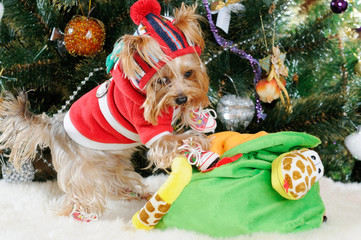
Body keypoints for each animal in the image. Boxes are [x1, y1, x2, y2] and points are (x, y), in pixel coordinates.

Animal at [0, 0, 214, 221]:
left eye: (189, 73)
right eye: (162, 80)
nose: (182, 98)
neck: (144, 92)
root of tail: (53, 123)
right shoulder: (153, 133)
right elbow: (172, 141)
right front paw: (197, 140)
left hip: (110, 157)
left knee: (113, 179)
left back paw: (130, 193)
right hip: (80, 166)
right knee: (80, 190)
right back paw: (82, 214)